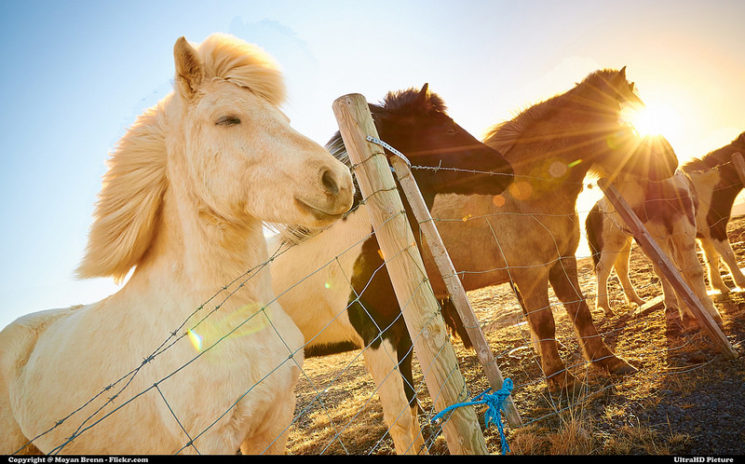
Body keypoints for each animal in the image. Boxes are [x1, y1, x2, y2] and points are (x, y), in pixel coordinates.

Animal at [270, 85, 516, 454]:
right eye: (446, 130)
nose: (505, 168)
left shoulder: (403, 338)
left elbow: (412, 410)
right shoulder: (376, 341)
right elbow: (399, 419)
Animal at [428, 67, 676, 390]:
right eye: (623, 123)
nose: (670, 161)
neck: (525, 195)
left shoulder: (562, 262)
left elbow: (580, 311)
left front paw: (608, 361)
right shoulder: (531, 274)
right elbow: (544, 322)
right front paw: (560, 379)